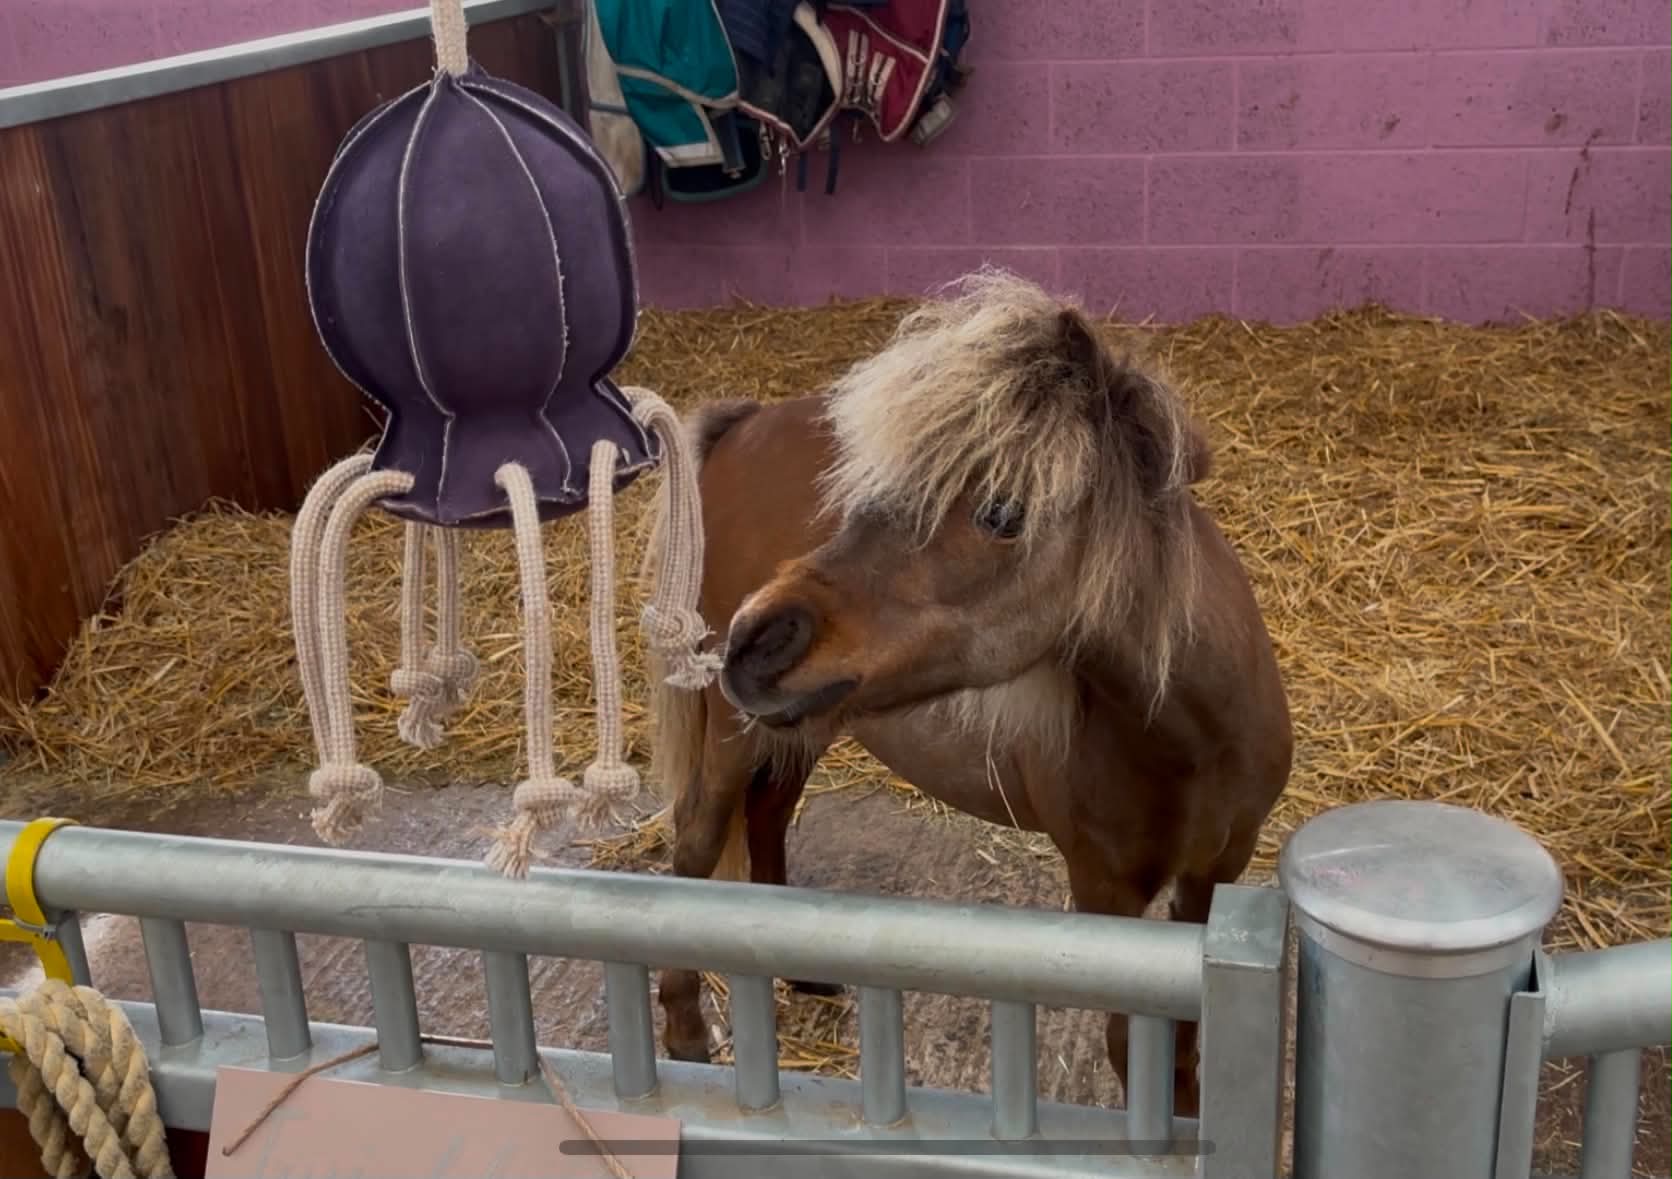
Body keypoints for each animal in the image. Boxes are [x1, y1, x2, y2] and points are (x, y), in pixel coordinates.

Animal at [639, 268, 1293, 1117]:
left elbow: (1183, 1044)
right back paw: (689, 1033)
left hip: (800, 726)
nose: (757, 640)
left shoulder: (1215, 872)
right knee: (695, 841)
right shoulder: (1108, 892)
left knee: (767, 817)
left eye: (1002, 512)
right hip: (734, 731)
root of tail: (741, 425)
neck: (1189, 742)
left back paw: (803, 972)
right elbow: (1132, 1047)